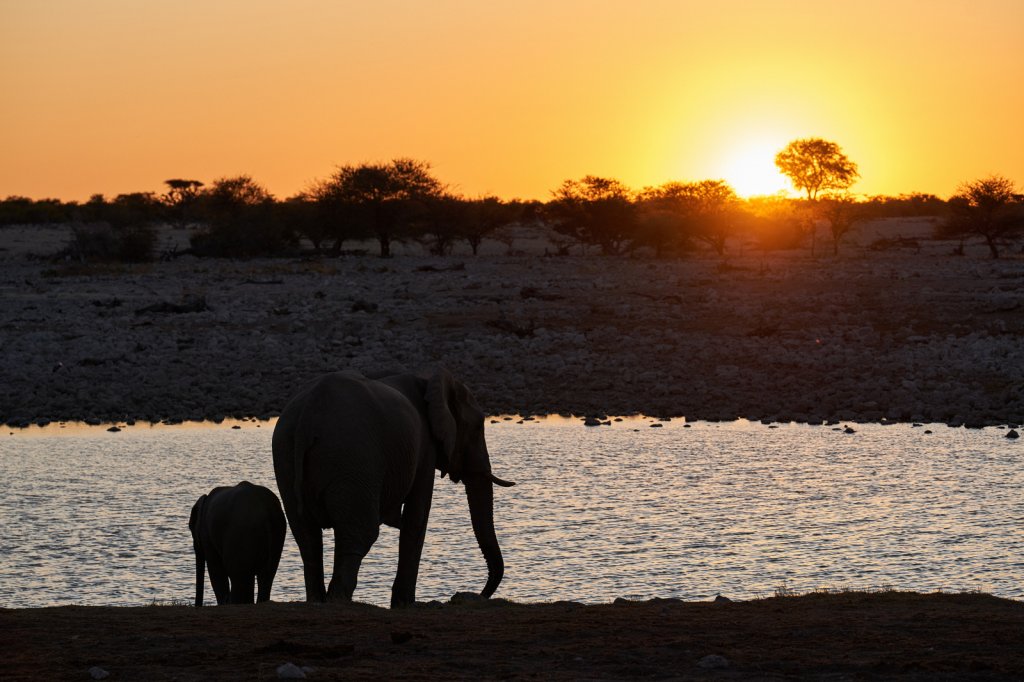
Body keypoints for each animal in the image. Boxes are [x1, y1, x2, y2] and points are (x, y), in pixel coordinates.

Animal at [186, 477, 284, 606]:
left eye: (190, 527)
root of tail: (266, 512)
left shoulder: (206, 533)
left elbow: (215, 568)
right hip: (277, 534)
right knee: (266, 575)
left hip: (241, 535)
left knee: (239, 576)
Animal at [270, 366, 512, 606]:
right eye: (478, 427)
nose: (479, 594)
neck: (429, 381)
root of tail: (308, 414)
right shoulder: (424, 448)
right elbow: (417, 516)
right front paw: (405, 605)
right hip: (352, 457)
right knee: (358, 536)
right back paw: (338, 601)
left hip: (286, 455)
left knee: (308, 539)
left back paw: (317, 601)